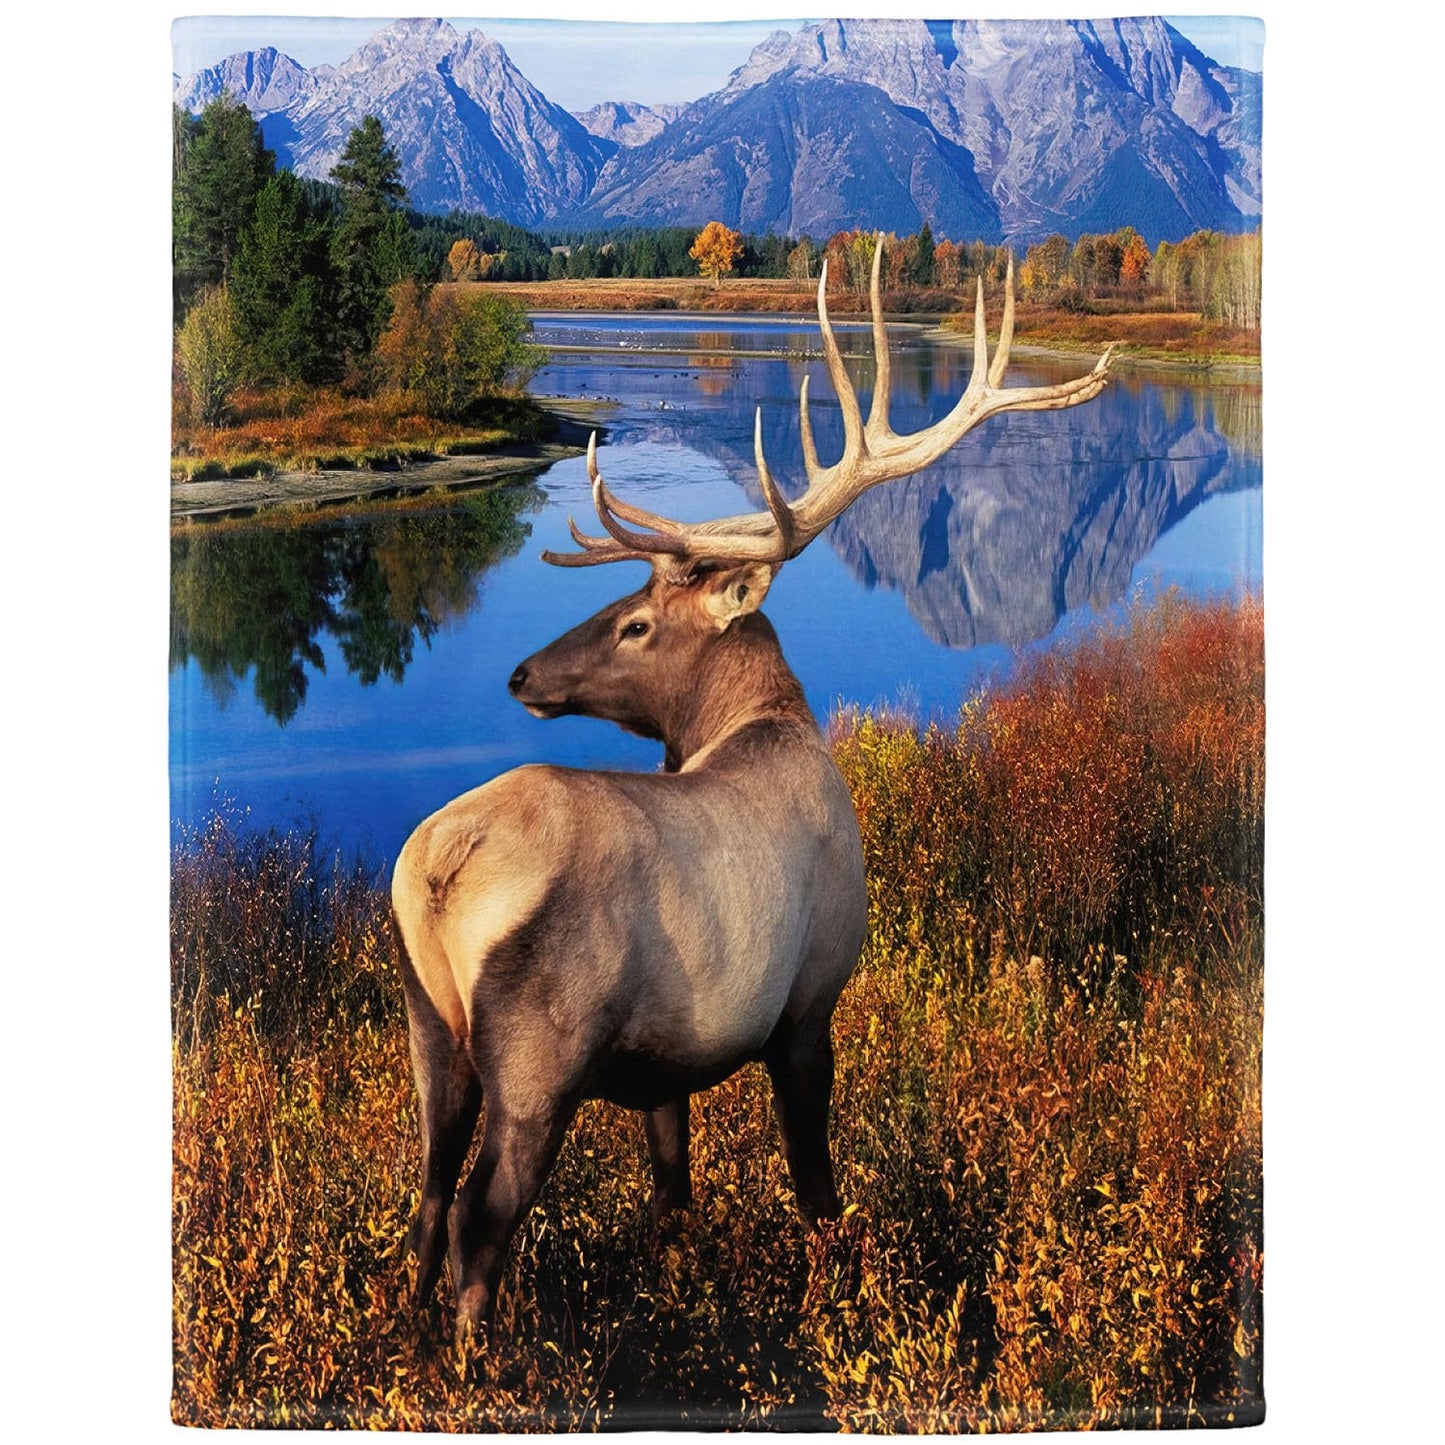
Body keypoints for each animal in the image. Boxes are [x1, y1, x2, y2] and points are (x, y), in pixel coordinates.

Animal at [390, 239, 1114, 1335]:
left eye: (636, 621)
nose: (521, 674)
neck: (766, 725)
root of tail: (438, 871)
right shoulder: (809, 1002)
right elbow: (816, 1187)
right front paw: (839, 1296)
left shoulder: (663, 1064)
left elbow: (673, 1191)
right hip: (539, 1051)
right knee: (483, 1218)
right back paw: (480, 1358)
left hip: (433, 1030)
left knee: (428, 1199)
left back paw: (413, 1345)